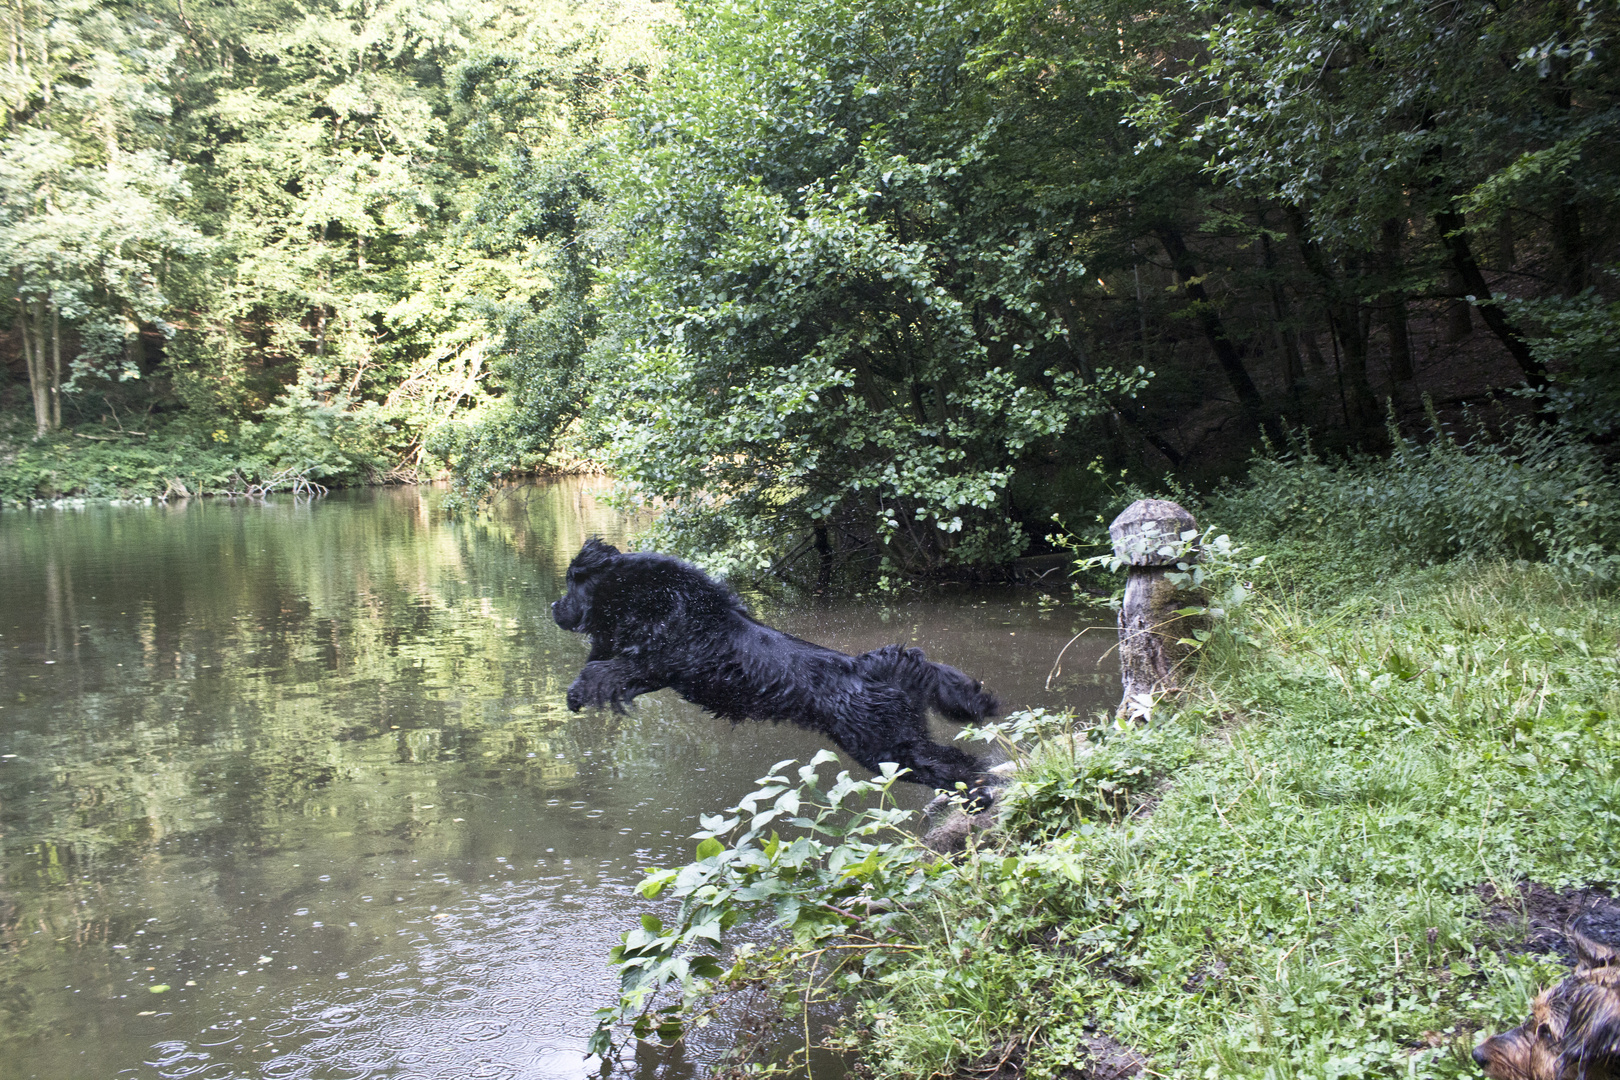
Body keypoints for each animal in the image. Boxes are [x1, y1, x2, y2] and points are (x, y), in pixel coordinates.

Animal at [554, 540, 997, 793]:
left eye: (572, 583)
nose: (555, 607)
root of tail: (867, 667)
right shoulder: (654, 673)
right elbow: (609, 671)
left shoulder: (657, 661)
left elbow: (601, 672)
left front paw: (578, 693)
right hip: (897, 742)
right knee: (956, 759)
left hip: (886, 747)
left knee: (947, 765)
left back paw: (978, 792)